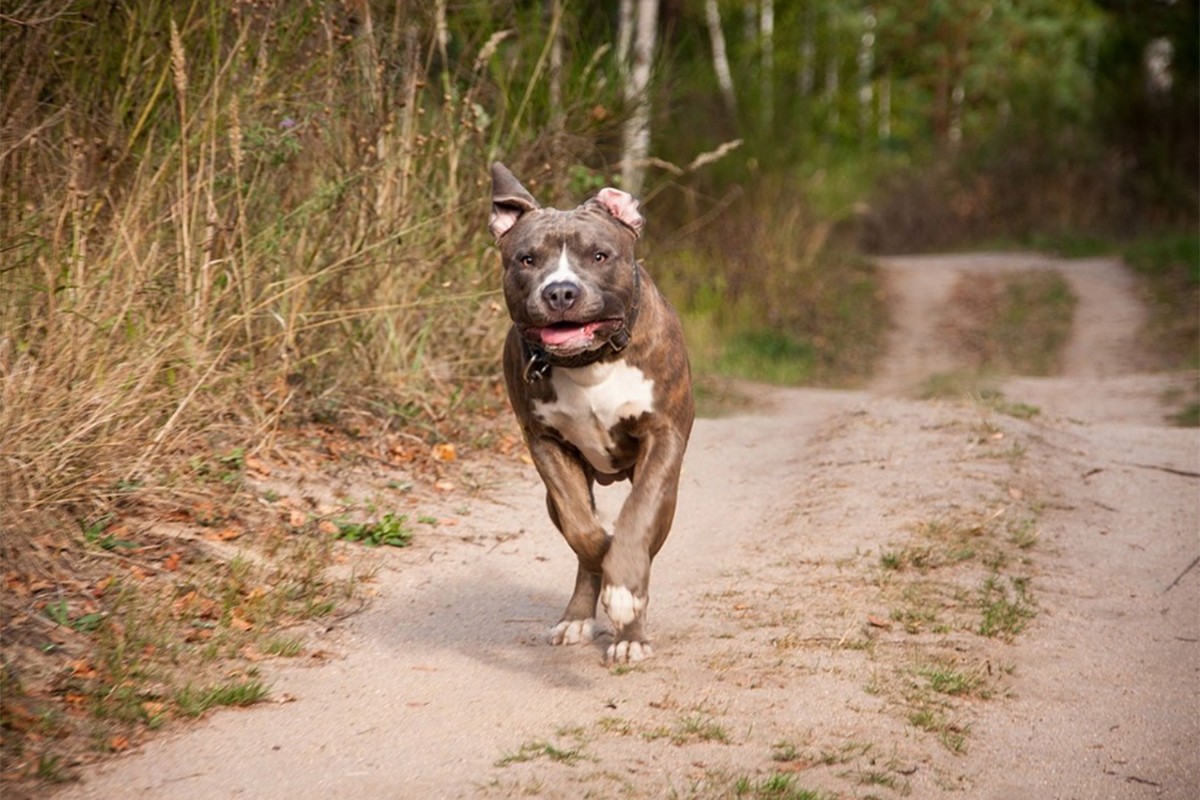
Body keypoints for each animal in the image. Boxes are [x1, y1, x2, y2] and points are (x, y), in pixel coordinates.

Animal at [487, 163, 696, 662]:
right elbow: (583, 530)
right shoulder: (545, 443)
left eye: (600, 255)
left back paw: (630, 633)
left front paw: (625, 594)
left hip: (669, 494)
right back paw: (579, 616)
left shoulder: (663, 436)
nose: (561, 291)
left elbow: (637, 519)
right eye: (527, 259)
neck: (590, 362)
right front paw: (603, 557)